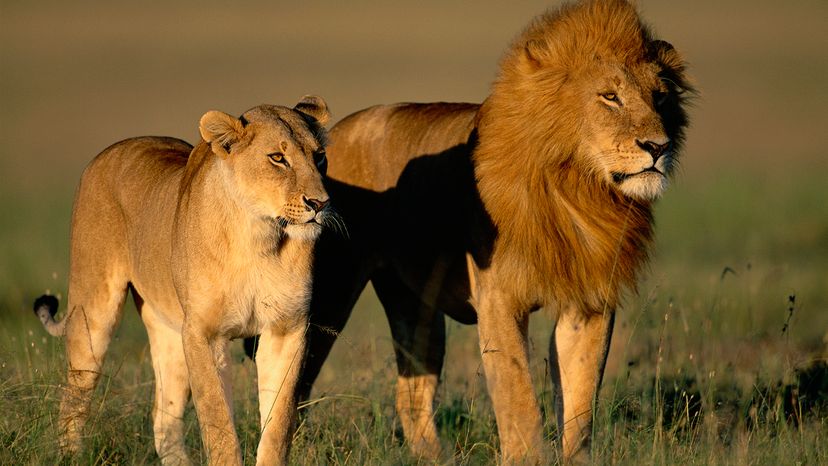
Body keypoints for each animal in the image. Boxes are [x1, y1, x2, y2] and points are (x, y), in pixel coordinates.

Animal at [34, 96, 334, 464]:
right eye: (278, 158)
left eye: (319, 156)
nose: (320, 203)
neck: (259, 237)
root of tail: (107, 152)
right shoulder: (204, 333)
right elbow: (218, 420)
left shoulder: (286, 329)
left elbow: (278, 422)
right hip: (93, 313)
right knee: (74, 396)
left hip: (169, 333)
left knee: (163, 420)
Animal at [292, 0, 692, 462]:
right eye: (610, 96)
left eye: (660, 97)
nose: (658, 147)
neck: (578, 189)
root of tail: (330, 136)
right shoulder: (498, 298)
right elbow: (518, 396)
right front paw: (527, 457)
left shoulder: (589, 301)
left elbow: (580, 402)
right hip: (329, 297)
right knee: (296, 383)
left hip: (415, 305)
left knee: (411, 395)